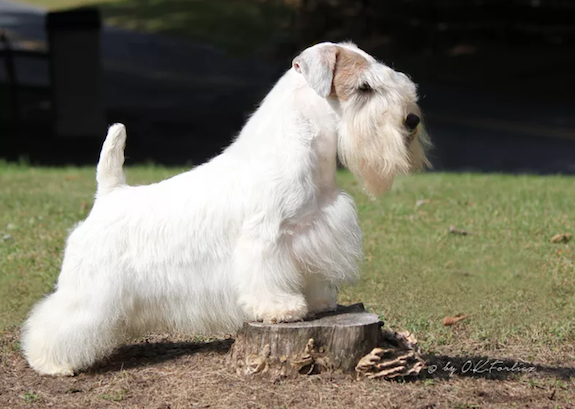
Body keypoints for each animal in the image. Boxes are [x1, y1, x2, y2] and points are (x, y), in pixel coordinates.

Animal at [21, 42, 428, 376]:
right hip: (89, 288)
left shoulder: (309, 233)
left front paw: (317, 302)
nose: (412, 119)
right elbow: (265, 277)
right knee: (57, 319)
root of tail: (108, 195)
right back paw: (50, 362)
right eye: (364, 87)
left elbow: (307, 274)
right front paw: (279, 309)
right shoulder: (265, 238)